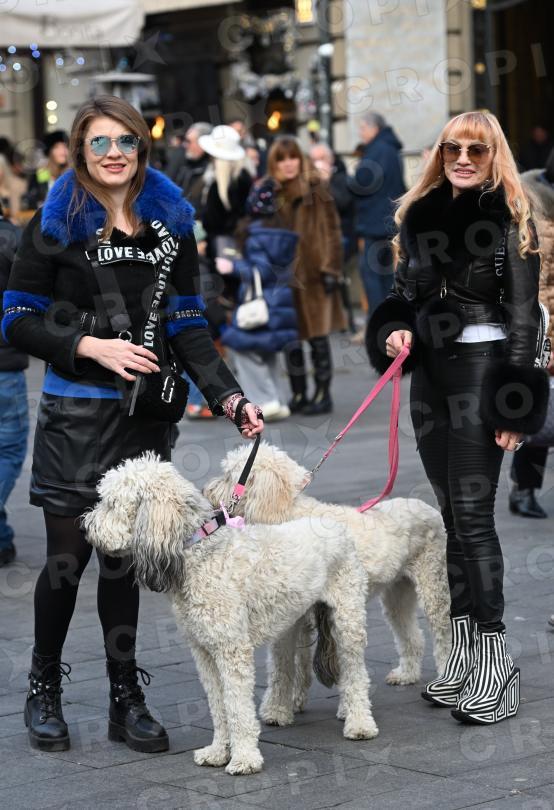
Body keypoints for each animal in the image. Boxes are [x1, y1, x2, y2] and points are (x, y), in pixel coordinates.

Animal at [83, 453, 378, 776]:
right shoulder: (204, 652)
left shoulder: (231, 650)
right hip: (293, 622)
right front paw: (217, 752)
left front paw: (245, 759)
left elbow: (236, 707)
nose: (85, 527)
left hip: (347, 619)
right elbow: (218, 706)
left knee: (355, 672)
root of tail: (336, 524)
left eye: (111, 503)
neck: (199, 551)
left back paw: (359, 723)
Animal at [204, 442, 452, 713]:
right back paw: (407, 674)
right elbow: (291, 662)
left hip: (433, 586)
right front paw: (288, 704)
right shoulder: (298, 615)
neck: (290, 513)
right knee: (411, 634)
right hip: (397, 594)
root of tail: (427, 507)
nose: (206, 491)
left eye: (228, 475)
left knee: (444, 636)